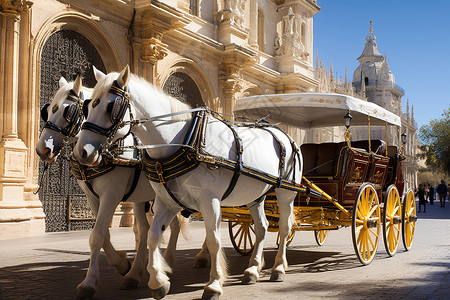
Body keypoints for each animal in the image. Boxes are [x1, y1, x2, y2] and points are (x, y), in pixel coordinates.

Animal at [34, 75, 183, 300]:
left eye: (68, 111)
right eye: (48, 109)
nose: (42, 149)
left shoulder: (111, 195)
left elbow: (96, 236)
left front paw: (88, 283)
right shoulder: (92, 197)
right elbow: (103, 234)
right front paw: (122, 264)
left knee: (176, 226)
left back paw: (185, 259)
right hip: (145, 198)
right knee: (147, 230)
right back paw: (137, 273)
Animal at [74, 66, 300, 300]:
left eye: (111, 106)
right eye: (88, 106)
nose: (83, 151)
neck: (183, 139)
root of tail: (284, 134)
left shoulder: (210, 201)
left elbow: (214, 240)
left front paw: (214, 284)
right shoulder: (166, 201)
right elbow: (153, 235)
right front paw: (158, 281)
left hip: (286, 193)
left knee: (284, 228)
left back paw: (278, 267)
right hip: (256, 196)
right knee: (262, 227)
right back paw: (253, 270)